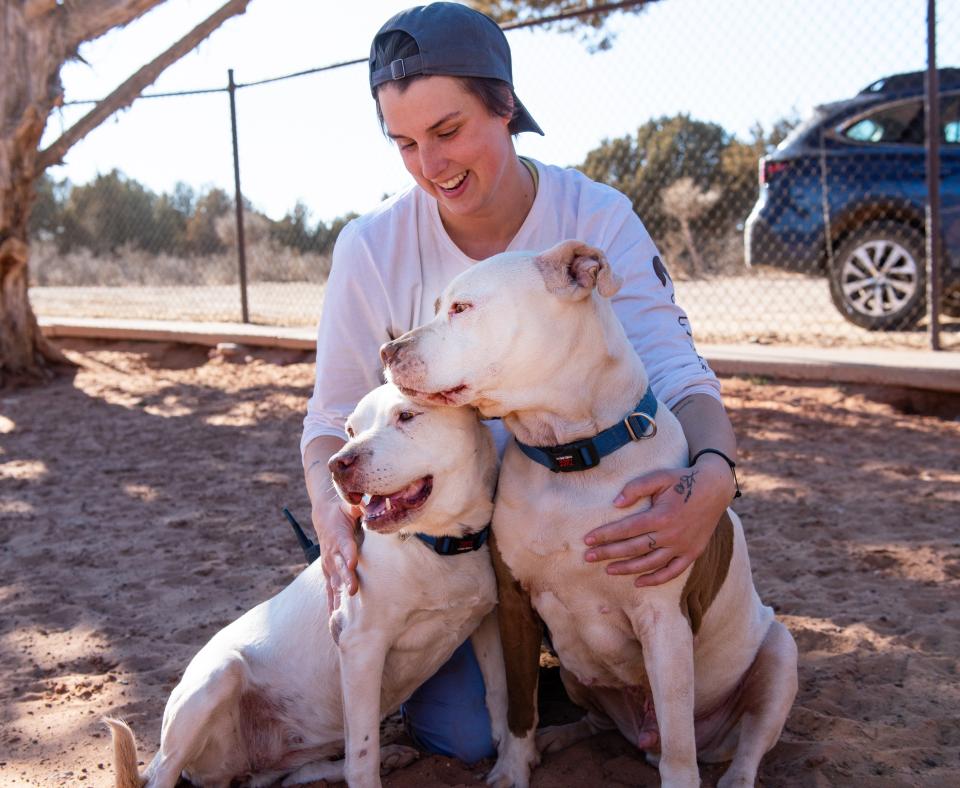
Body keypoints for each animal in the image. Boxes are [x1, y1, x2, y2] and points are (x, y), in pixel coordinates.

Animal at [109, 384, 528, 788]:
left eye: (407, 415)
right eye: (350, 430)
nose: (338, 464)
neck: (435, 545)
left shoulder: (486, 622)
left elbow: (499, 693)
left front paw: (511, 756)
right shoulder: (360, 647)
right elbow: (362, 757)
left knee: (289, 775)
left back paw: (387, 756)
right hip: (216, 679)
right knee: (163, 775)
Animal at [380, 242, 796, 788]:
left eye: (462, 308)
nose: (387, 351)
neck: (570, 455)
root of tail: (641, 738)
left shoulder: (664, 623)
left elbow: (679, 745)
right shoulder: (515, 604)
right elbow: (520, 704)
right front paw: (515, 766)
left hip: (779, 656)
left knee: (744, 743)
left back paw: (733, 774)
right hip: (579, 674)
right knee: (599, 720)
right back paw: (559, 737)